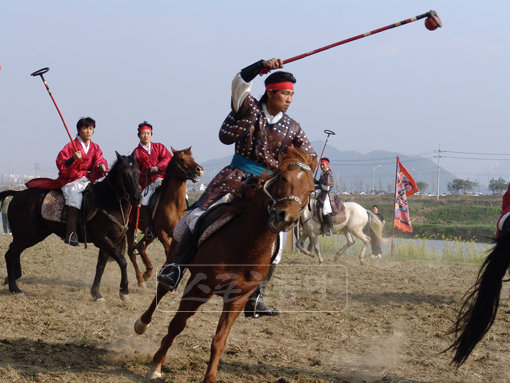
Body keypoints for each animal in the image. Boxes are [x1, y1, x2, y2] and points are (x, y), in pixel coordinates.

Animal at [0, 152, 140, 302]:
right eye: (124, 174)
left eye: (138, 172)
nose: (137, 197)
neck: (107, 202)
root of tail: (17, 194)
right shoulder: (102, 239)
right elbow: (122, 261)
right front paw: (124, 291)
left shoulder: (109, 242)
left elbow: (101, 266)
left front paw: (96, 293)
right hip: (27, 235)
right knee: (10, 254)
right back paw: (15, 288)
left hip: (32, 235)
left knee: (15, 252)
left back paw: (13, 279)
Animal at [126, 147, 204, 288]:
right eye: (181, 159)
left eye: (192, 158)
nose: (199, 170)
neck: (174, 204)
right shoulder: (162, 232)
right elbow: (168, 252)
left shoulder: (174, 234)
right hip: (131, 228)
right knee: (131, 253)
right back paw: (140, 279)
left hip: (150, 233)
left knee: (141, 247)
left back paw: (148, 272)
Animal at [134, 146, 318, 380]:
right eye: (284, 178)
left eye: (310, 190)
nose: (285, 217)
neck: (247, 245)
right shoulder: (198, 287)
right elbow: (176, 325)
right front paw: (156, 366)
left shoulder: (236, 299)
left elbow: (219, 340)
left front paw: (210, 377)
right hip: (173, 254)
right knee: (161, 289)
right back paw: (142, 322)